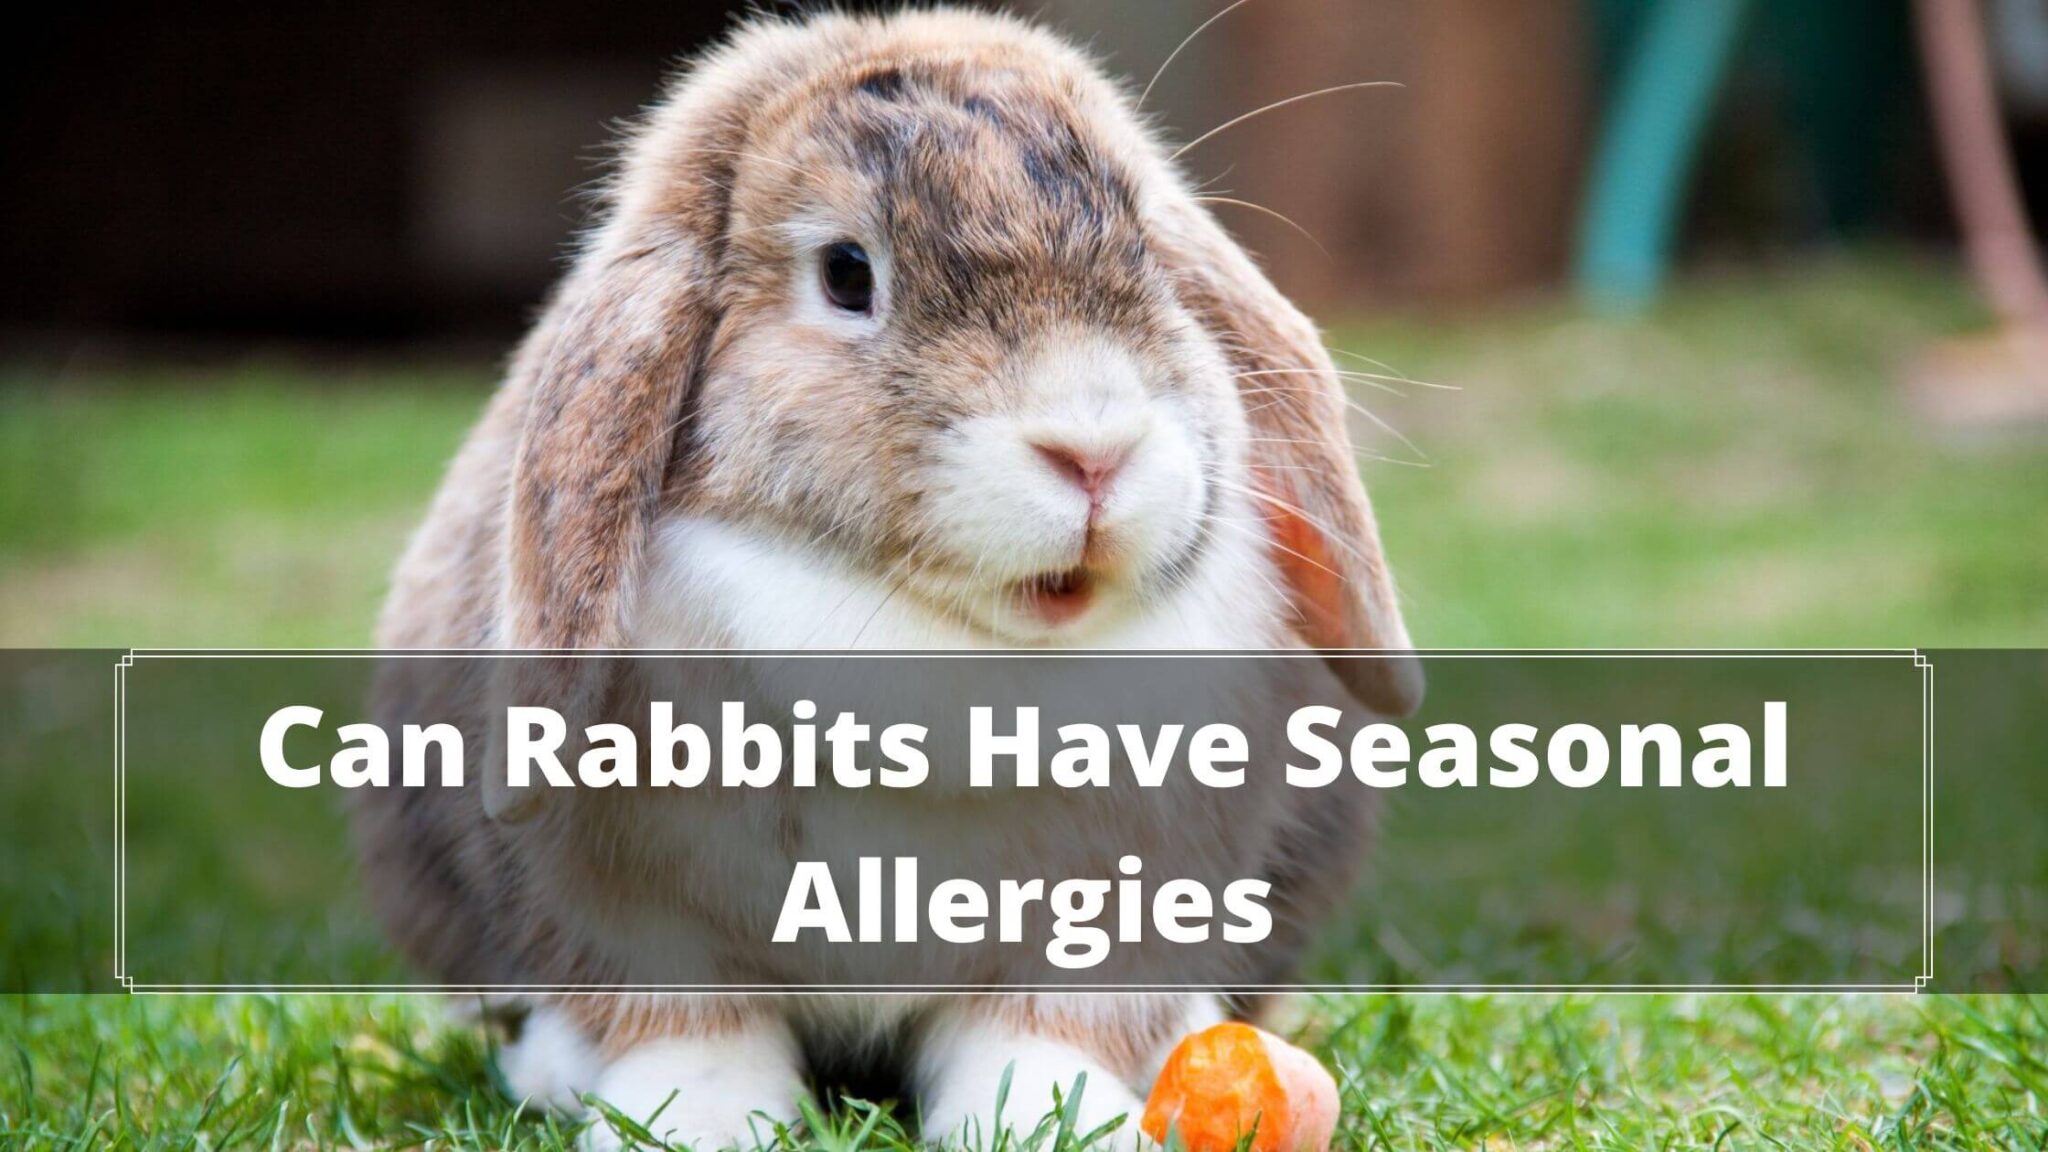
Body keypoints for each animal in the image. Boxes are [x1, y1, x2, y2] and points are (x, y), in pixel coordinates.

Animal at [355, 8, 1419, 1151]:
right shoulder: (629, 910)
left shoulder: (1115, 910)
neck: (934, 631)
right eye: (846, 274)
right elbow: (685, 1024)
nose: (1094, 451)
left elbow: (1036, 1031)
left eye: (1145, 249)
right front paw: (696, 1123)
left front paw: (1045, 1121)